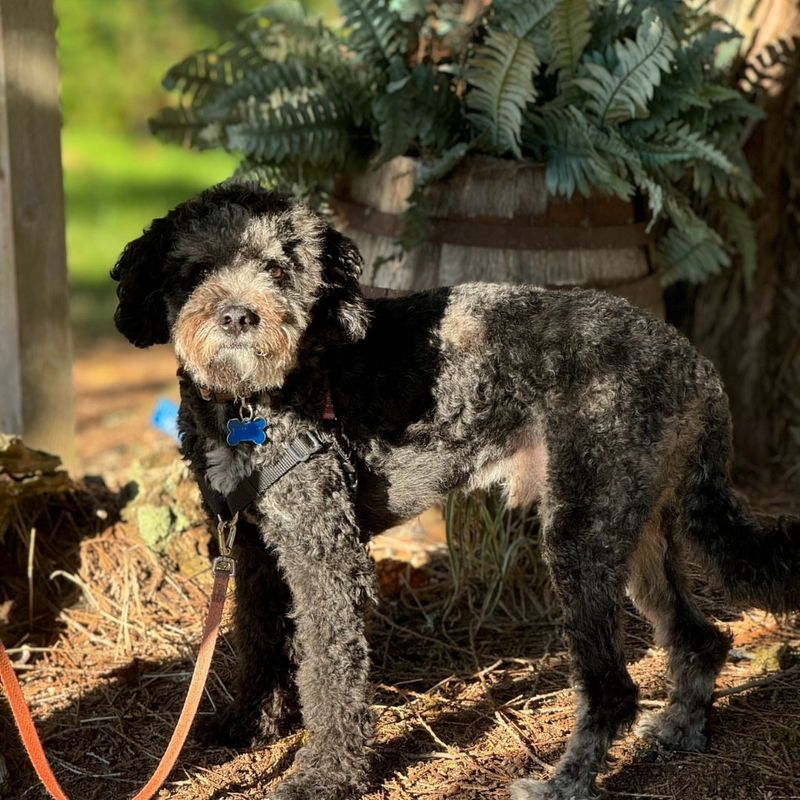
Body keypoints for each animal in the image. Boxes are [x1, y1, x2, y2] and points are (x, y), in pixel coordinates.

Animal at [112, 183, 800, 800]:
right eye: (196, 268)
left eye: (280, 269)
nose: (238, 316)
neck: (252, 404)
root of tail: (695, 367)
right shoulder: (252, 547)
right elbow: (257, 636)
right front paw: (248, 724)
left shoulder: (325, 554)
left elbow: (330, 668)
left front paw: (325, 775)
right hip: (635, 532)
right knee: (699, 637)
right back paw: (681, 728)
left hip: (581, 536)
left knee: (612, 691)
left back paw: (564, 785)